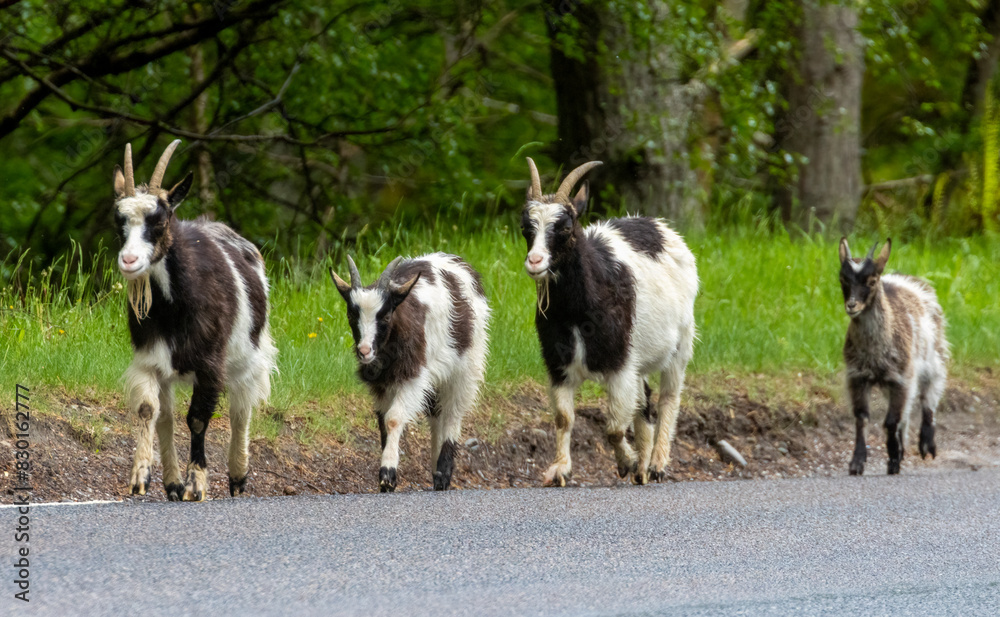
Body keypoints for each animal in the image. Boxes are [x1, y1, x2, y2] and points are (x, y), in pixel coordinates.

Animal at [113, 140, 277, 501]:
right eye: (119, 223)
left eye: (159, 222)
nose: (129, 260)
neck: (175, 310)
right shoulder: (150, 359)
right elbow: (150, 410)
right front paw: (143, 477)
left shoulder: (210, 362)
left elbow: (199, 419)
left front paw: (197, 483)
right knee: (167, 416)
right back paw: (173, 482)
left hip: (248, 355)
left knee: (241, 409)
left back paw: (238, 477)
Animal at [331, 253, 490, 492]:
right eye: (351, 315)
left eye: (385, 316)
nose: (365, 351)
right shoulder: (382, 383)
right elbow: (383, 423)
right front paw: (386, 477)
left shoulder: (413, 376)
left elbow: (394, 419)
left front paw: (387, 475)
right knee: (436, 414)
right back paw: (435, 471)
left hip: (467, 365)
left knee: (453, 413)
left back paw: (444, 473)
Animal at [520, 158, 699, 486]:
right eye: (526, 227)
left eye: (566, 227)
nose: (535, 262)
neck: (577, 313)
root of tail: (658, 226)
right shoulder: (558, 364)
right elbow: (564, 418)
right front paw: (560, 469)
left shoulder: (620, 365)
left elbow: (614, 427)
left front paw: (628, 461)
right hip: (639, 357)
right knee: (645, 402)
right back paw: (643, 469)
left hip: (681, 342)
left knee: (669, 397)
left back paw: (657, 464)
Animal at [839, 238, 948, 475]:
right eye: (842, 279)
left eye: (871, 281)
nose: (851, 306)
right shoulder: (857, 376)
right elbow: (862, 417)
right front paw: (857, 463)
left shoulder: (902, 378)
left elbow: (890, 421)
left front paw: (893, 460)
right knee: (904, 414)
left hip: (934, 357)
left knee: (930, 394)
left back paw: (926, 444)